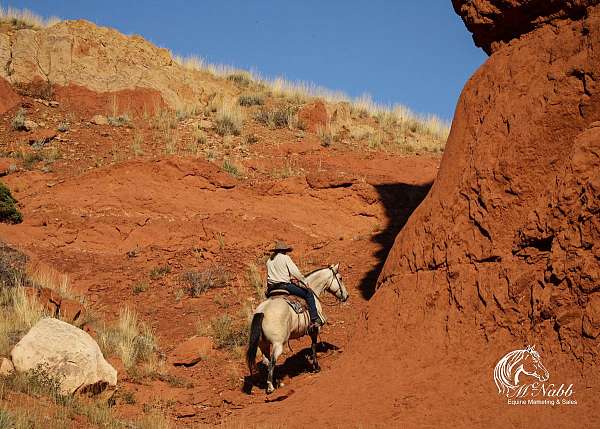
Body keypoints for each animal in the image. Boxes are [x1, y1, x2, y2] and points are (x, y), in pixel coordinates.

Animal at [245, 262, 346, 392]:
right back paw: (270, 386)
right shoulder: (314, 329)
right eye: (340, 278)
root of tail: (262, 311)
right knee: (272, 361)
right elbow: (313, 346)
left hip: (263, 344)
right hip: (278, 344)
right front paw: (316, 367)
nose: (346, 296)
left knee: (267, 361)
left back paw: (277, 382)